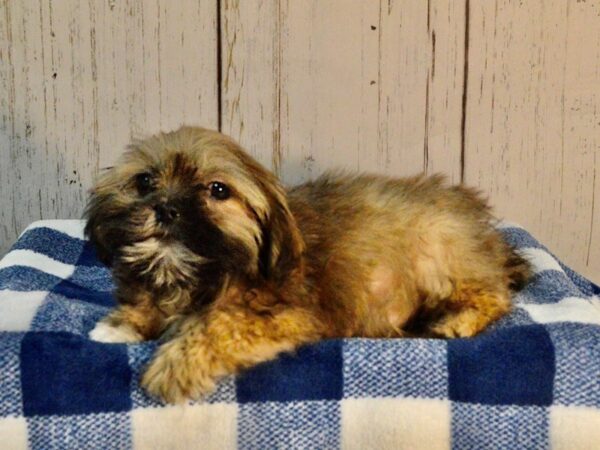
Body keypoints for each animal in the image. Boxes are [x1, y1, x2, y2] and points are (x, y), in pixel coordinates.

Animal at [85, 126, 528, 404]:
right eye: (144, 182)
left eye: (217, 190)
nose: (166, 209)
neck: (196, 274)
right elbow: (145, 307)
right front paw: (122, 323)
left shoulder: (283, 315)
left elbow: (217, 324)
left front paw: (174, 366)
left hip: (440, 254)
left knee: (495, 296)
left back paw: (457, 321)